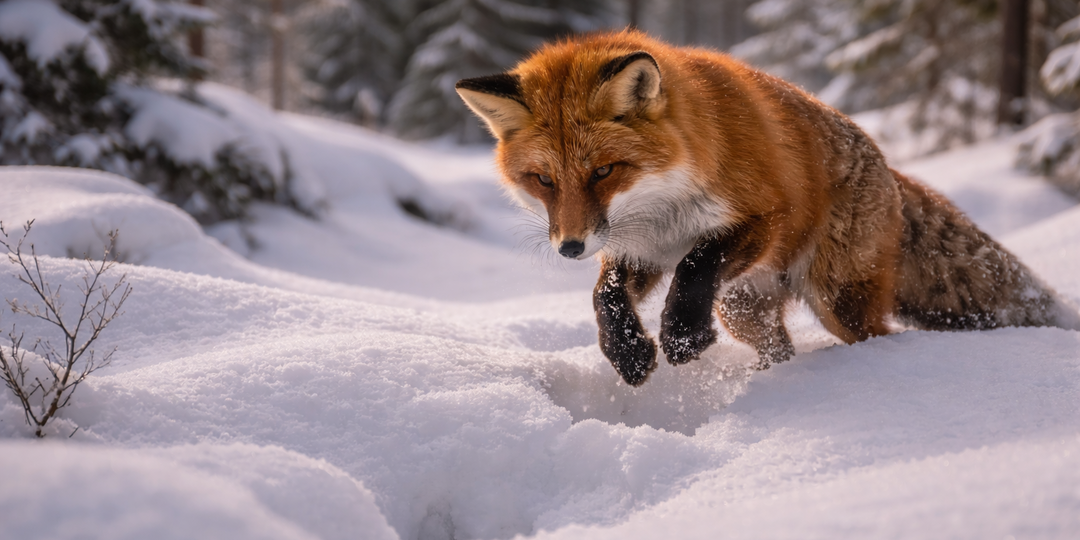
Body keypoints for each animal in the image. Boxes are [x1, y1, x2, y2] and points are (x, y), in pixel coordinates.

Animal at [456, 30, 1080, 386]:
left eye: (604, 172)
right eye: (542, 180)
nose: (570, 247)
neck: (663, 200)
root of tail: (889, 167)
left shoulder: (762, 217)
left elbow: (695, 264)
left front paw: (682, 335)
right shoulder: (641, 248)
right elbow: (603, 299)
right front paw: (629, 355)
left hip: (835, 300)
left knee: (877, 335)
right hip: (742, 309)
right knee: (779, 347)